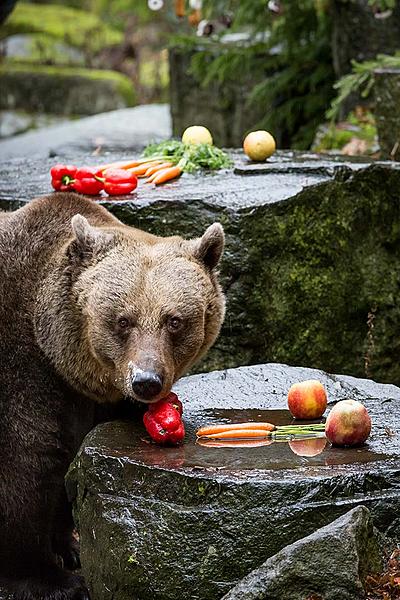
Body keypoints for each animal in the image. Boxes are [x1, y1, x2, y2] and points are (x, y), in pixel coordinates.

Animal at [0, 191, 225, 596]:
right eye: (123, 320)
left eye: (174, 321)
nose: (146, 380)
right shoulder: (23, 369)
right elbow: (27, 457)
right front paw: (53, 578)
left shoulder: (92, 399)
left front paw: (69, 547)